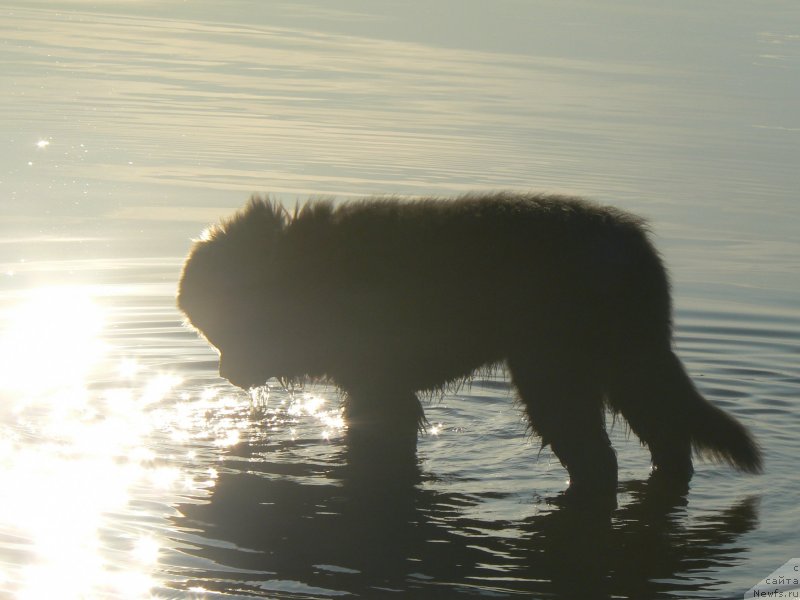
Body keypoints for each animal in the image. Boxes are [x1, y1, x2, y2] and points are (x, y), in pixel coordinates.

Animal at [178, 192, 760, 496]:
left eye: (225, 330)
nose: (226, 374)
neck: (304, 273)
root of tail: (636, 249)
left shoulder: (378, 383)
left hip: (557, 374)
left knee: (599, 453)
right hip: (626, 367)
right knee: (666, 440)